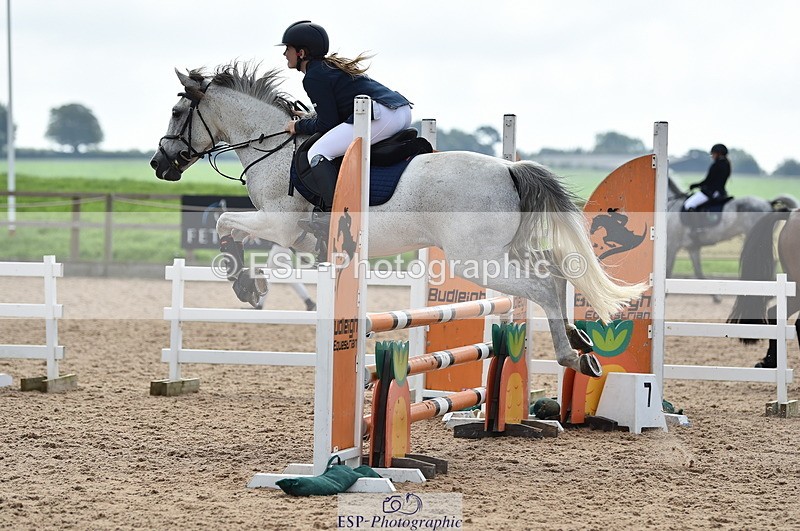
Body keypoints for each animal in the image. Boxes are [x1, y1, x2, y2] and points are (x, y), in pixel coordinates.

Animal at [149, 63, 646, 378]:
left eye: (176, 112)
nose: (159, 164)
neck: (272, 147)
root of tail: (509, 168)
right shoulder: (296, 238)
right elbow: (250, 244)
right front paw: (251, 286)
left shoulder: (280, 226)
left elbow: (225, 224)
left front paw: (246, 286)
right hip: (504, 250)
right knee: (556, 273)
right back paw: (581, 343)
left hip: (476, 259)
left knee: (542, 286)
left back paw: (572, 356)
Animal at [666, 177, 798, 302]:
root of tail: (768, 202)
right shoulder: (692, 248)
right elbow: (699, 273)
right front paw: (716, 297)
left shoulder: (672, 245)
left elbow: (668, 270)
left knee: (771, 260)